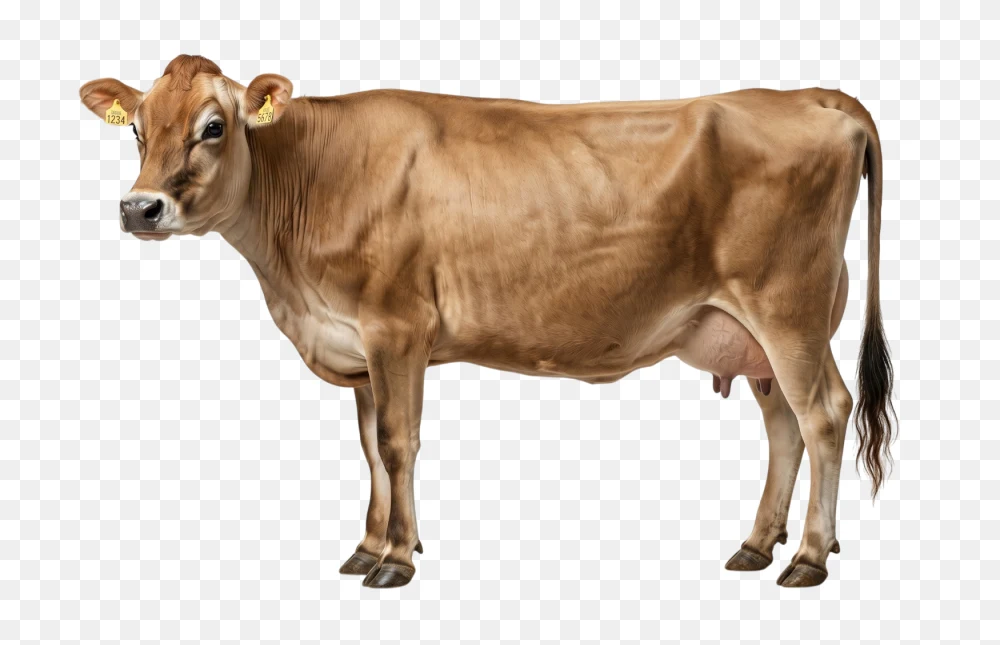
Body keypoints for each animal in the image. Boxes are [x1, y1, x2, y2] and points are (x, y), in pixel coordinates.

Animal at [80, 55, 894, 588]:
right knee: (784, 424)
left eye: (214, 126)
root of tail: (814, 96)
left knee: (824, 413)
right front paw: (368, 545)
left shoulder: (397, 326)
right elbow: (369, 450)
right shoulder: (357, 342)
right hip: (752, 330)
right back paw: (758, 544)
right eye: (137, 129)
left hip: (788, 308)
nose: (139, 208)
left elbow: (398, 443)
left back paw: (808, 556)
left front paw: (395, 560)